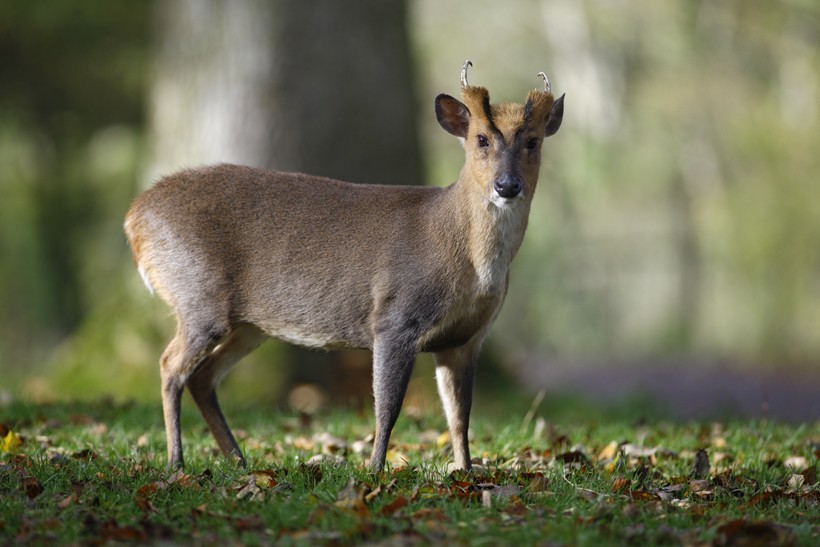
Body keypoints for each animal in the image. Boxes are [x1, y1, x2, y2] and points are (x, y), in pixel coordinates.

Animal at [125, 61, 568, 470]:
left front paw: (465, 473)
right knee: (170, 366)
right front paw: (375, 470)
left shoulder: (466, 339)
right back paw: (177, 462)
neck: (465, 258)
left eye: (532, 142)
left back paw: (238, 460)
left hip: (250, 325)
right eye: (481, 139)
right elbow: (388, 407)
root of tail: (135, 218)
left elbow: (460, 417)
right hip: (198, 296)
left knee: (202, 377)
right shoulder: (394, 317)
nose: (506, 186)